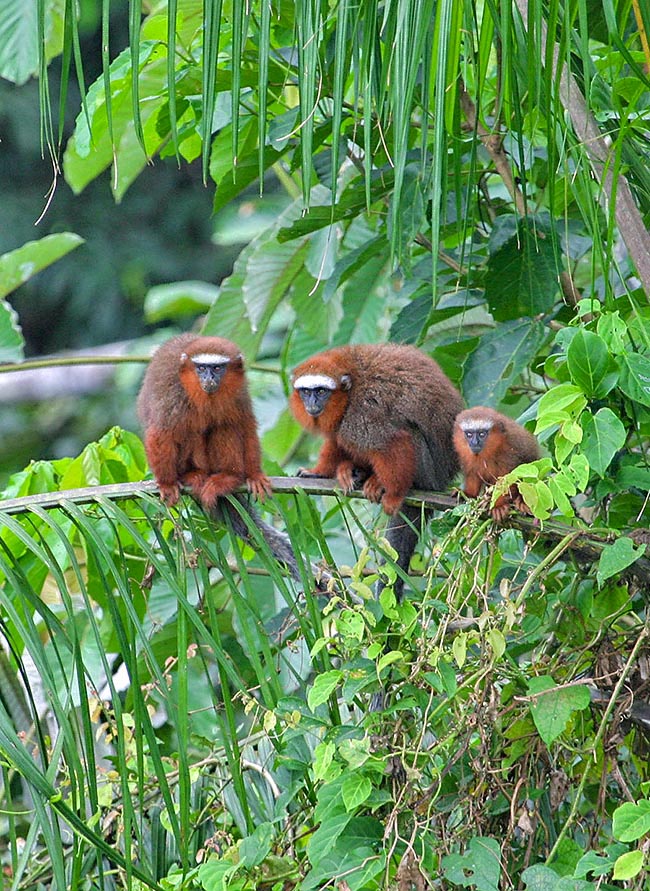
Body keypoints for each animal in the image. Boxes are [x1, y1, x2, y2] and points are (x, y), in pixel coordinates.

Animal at [139, 332, 326, 584]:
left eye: (217, 368)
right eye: (201, 368)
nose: (208, 377)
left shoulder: (239, 391)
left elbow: (244, 424)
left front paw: (255, 476)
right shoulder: (173, 396)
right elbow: (161, 433)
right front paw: (167, 484)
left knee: (224, 426)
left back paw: (227, 478)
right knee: (190, 430)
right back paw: (193, 475)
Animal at [288, 344, 460, 604]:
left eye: (321, 391)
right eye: (306, 392)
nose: (312, 403)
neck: (350, 387)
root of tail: (442, 480)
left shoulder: (362, 414)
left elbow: (393, 441)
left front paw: (394, 494)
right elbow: (335, 441)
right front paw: (319, 473)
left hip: (428, 472)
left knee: (407, 433)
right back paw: (355, 472)